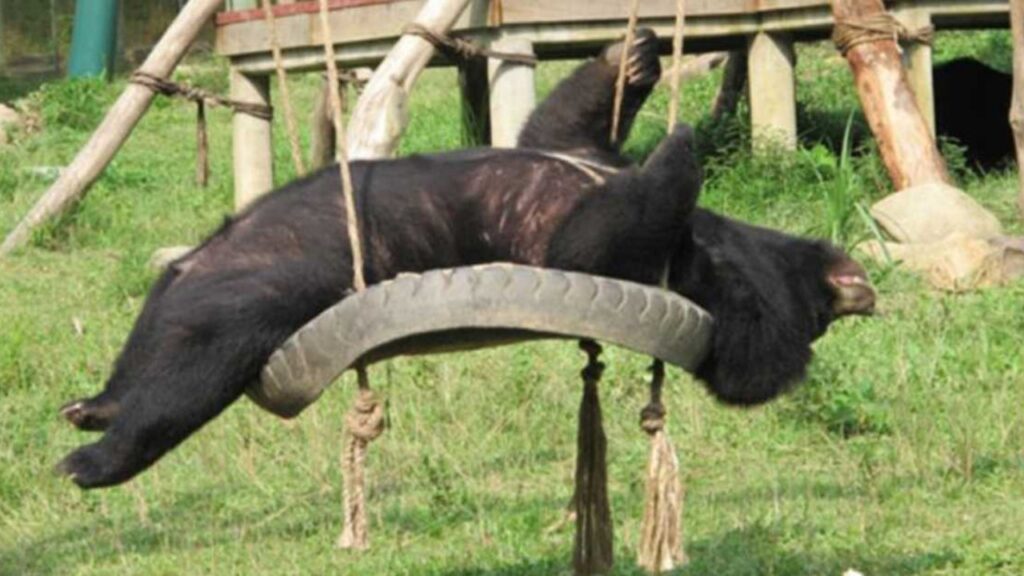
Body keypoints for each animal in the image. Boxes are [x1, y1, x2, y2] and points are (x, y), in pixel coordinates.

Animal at [56, 30, 872, 487]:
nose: (854, 288)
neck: (707, 251)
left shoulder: (618, 260)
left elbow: (593, 243)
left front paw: (680, 142)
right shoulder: (583, 160)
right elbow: (554, 123)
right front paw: (633, 57)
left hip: (258, 305)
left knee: (191, 376)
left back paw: (94, 456)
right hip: (189, 282)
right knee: (158, 340)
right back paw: (95, 404)